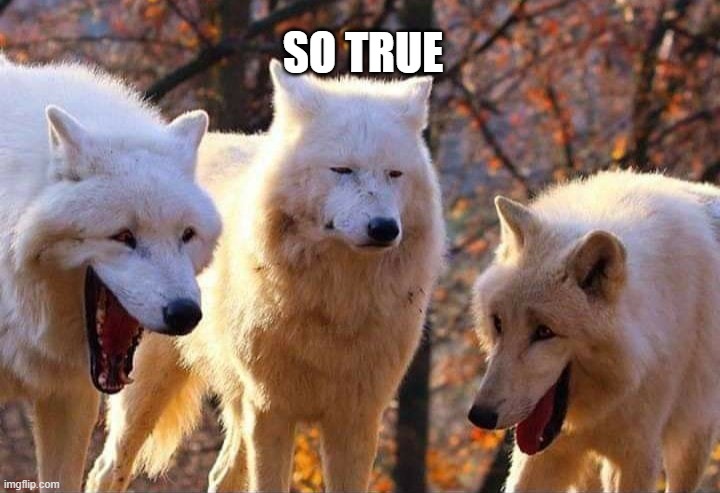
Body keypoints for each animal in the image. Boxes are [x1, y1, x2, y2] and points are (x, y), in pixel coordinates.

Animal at [86, 60, 446, 492]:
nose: (384, 229)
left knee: (221, 474)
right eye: (342, 170)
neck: (336, 302)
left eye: (395, 174)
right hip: (148, 388)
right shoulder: (271, 409)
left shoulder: (357, 417)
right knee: (107, 469)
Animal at [468, 170, 720, 492]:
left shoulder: (637, 456)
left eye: (544, 332)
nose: (480, 415)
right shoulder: (545, 453)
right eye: (499, 323)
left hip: (691, 442)